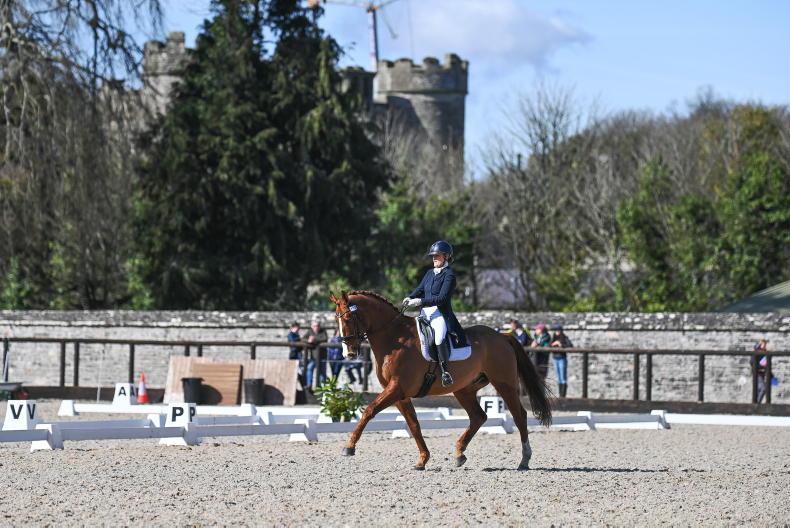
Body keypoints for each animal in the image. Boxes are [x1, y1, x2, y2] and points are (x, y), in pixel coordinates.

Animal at [329, 290, 552, 470]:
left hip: (504, 384)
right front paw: (422, 459)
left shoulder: (396, 388)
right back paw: (460, 454)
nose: (349, 353)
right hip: (463, 389)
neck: (394, 339)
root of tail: (502, 336)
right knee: (478, 416)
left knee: (519, 416)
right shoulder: (399, 394)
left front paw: (349, 447)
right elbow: (414, 425)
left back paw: (524, 459)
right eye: (336, 320)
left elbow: (369, 410)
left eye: (348, 318)